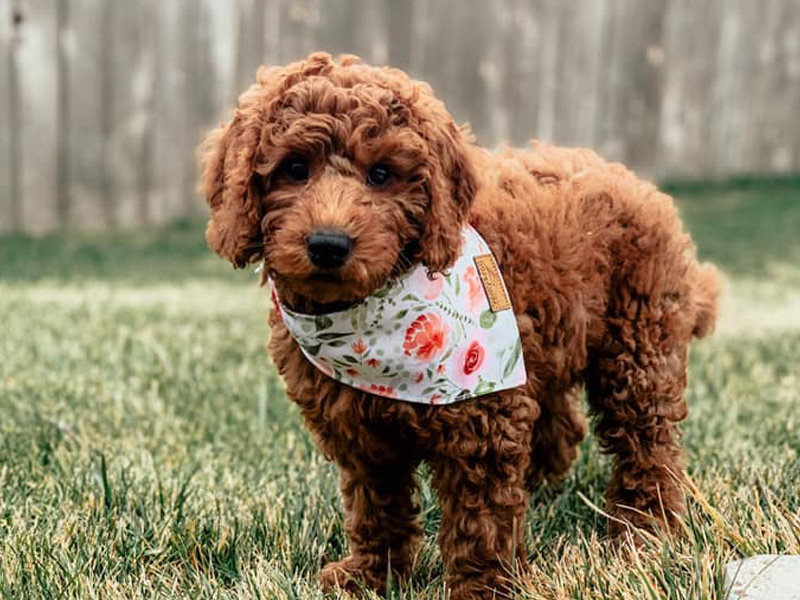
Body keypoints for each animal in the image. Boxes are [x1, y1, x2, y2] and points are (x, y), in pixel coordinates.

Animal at [198, 52, 720, 600]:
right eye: (294, 169)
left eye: (381, 174)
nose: (328, 245)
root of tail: (635, 182)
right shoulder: (363, 437)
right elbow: (376, 506)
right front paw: (370, 576)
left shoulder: (482, 421)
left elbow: (482, 519)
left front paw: (484, 589)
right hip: (550, 344)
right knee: (562, 423)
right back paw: (545, 490)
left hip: (637, 348)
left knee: (648, 442)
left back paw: (644, 530)